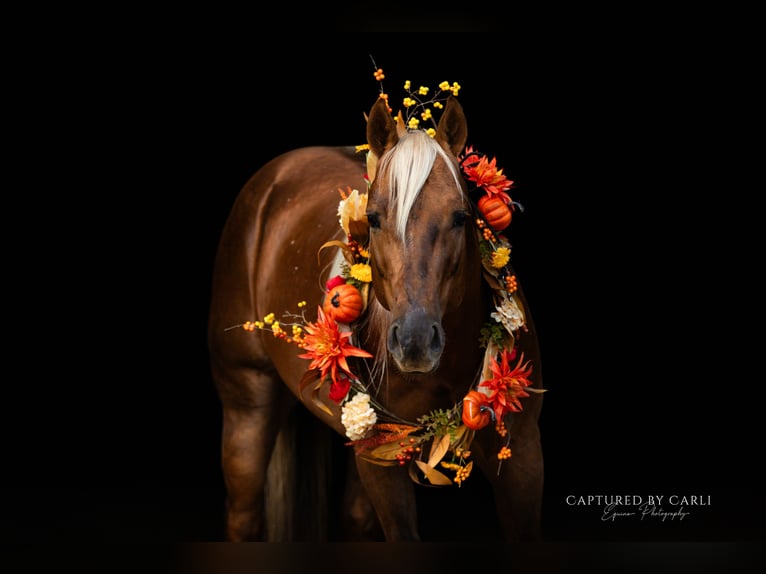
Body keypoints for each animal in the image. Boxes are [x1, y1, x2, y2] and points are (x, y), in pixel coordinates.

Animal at [207, 94, 544, 542]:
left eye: (461, 216)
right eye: (374, 219)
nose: (415, 342)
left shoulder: (523, 460)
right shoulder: (382, 469)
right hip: (248, 407)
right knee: (243, 515)